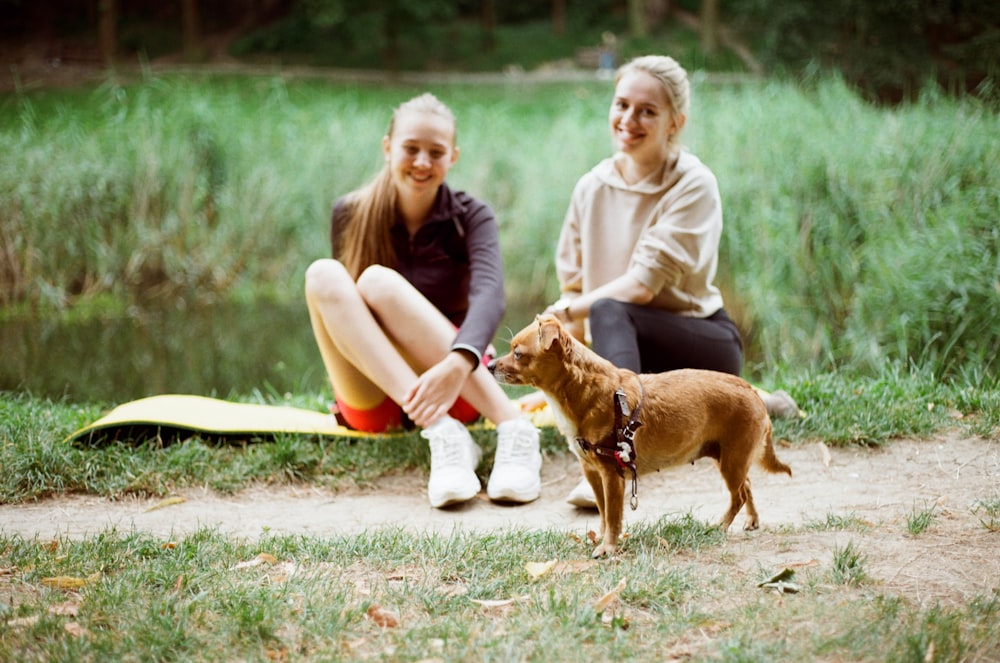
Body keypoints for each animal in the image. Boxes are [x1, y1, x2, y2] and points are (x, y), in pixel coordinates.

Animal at [488, 314, 792, 556]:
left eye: (517, 353)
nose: (489, 365)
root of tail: (753, 392)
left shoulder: (612, 476)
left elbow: (613, 515)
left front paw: (608, 548)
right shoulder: (593, 473)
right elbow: (602, 512)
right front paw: (601, 537)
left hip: (731, 461)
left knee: (738, 495)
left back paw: (721, 525)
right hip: (729, 459)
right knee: (747, 485)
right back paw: (751, 519)